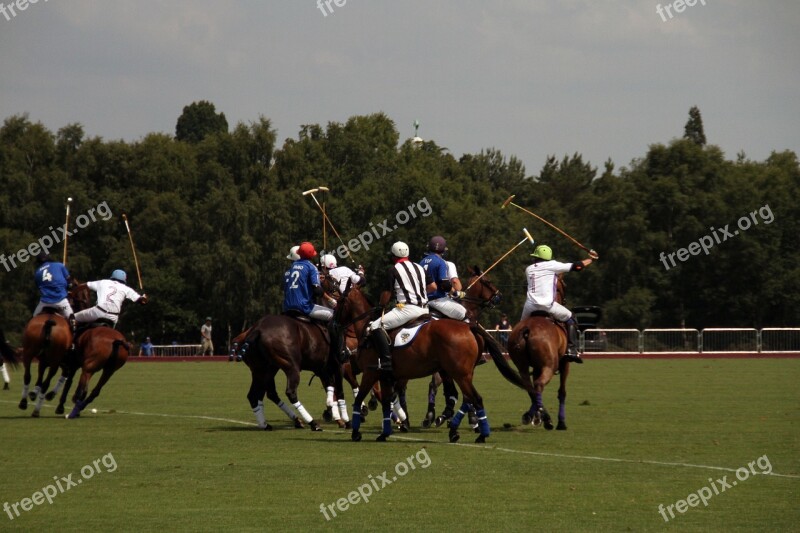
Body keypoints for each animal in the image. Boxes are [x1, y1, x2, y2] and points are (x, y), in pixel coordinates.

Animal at [54, 280, 130, 418]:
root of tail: (116, 341)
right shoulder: (74, 364)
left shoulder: (72, 364)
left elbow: (68, 382)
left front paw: (60, 406)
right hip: (110, 370)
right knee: (94, 391)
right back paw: (78, 409)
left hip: (89, 367)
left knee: (81, 391)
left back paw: (73, 412)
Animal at [332, 280, 524, 442]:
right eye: (488, 284)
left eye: (339, 302)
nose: (332, 324)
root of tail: (469, 326)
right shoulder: (383, 375)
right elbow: (385, 402)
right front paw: (384, 432)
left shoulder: (372, 373)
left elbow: (361, 400)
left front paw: (357, 432)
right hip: (457, 373)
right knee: (466, 397)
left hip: (459, 373)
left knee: (472, 398)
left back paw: (476, 432)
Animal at [506, 274, 568, 428]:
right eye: (564, 285)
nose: (564, 301)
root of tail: (527, 329)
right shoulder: (565, 362)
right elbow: (562, 392)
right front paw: (561, 422)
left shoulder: (535, 367)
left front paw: (533, 415)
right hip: (550, 365)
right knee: (539, 384)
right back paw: (544, 418)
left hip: (522, 364)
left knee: (529, 386)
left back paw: (534, 415)